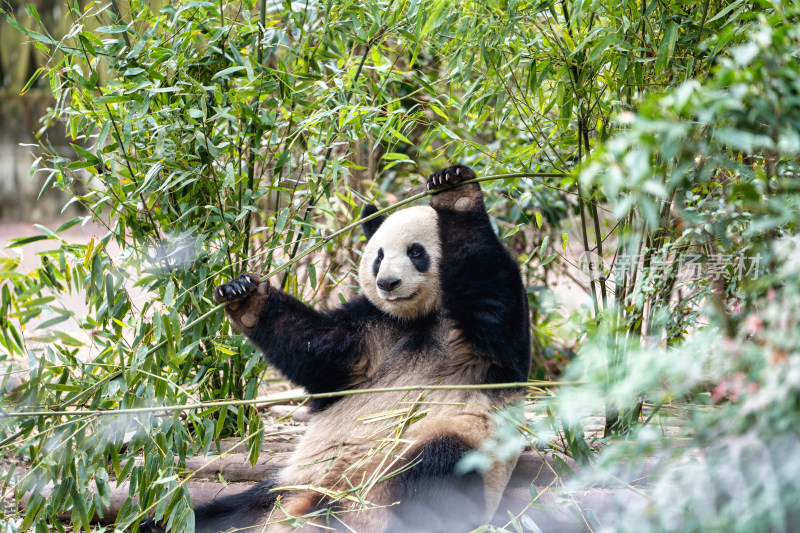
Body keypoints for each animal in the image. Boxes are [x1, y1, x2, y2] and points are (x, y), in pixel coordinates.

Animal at [191, 164, 532, 528]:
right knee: (212, 514)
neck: (420, 318)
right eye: (378, 257)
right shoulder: (374, 329)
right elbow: (319, 350)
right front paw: (243, 296)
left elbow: (488, 291)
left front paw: (455, 192)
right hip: (283, 488)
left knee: (435, 470)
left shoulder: (483, 345)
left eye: (416, 252)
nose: (387, 283)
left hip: (440, 449)